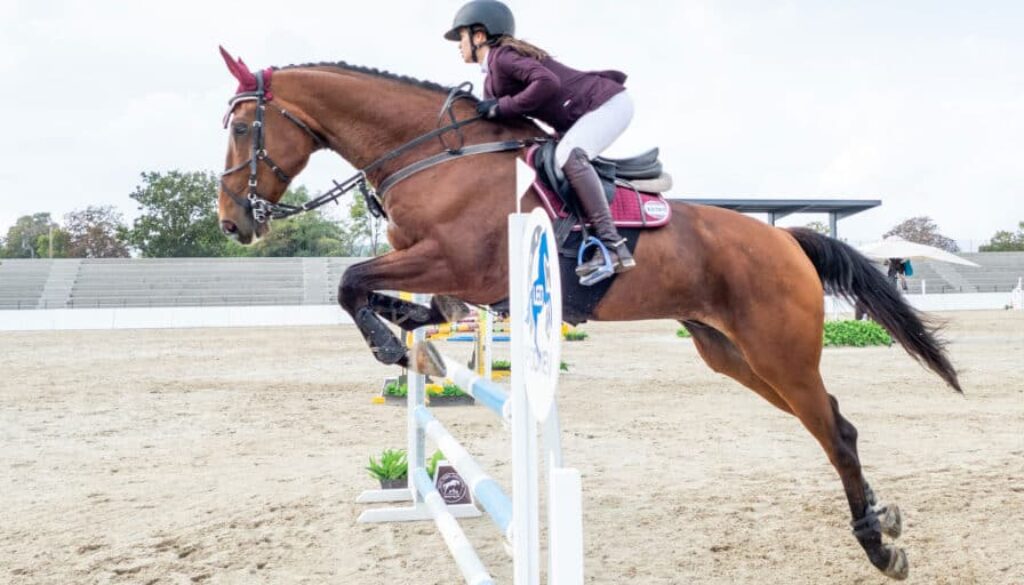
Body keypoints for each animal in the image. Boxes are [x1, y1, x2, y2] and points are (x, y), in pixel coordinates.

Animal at [216, 49, 961, 580]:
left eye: (246, 127)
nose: (232, 222)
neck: (433, 154)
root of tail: (785, 237)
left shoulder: (459, 263)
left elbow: (351, 283)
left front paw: (393, 347)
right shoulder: (444, 271)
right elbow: (394, 297)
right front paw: (411, 334)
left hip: (779, 352)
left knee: (835, 433)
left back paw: (878, 546)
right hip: (733, 355)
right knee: (835, 421)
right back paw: (884, 520)